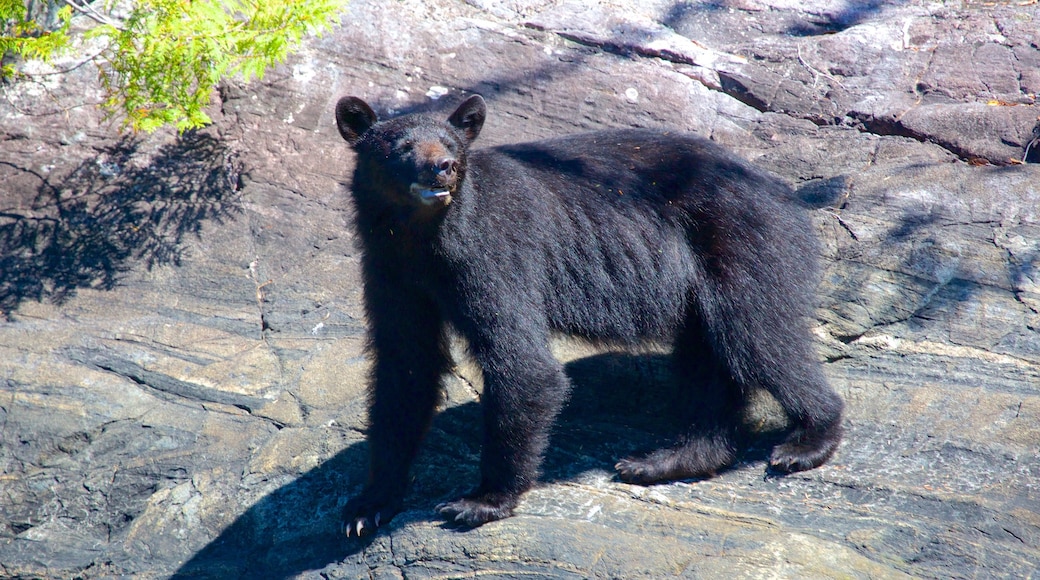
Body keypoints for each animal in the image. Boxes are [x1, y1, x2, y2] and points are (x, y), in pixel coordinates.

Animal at [336, 94, 840, 536]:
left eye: (451, 143)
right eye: (402, 146)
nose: (444, 167)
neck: (420, 237)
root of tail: (787, 191)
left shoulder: (490, 251)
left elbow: (523, 364)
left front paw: (479, 501)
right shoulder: (390, 271)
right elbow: (406, 366)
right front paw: (367, 506)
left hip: (741, 240)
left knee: (758, 334)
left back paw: (806, 441)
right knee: (707, 359)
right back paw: (664, 459)